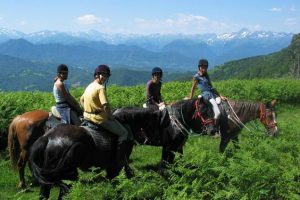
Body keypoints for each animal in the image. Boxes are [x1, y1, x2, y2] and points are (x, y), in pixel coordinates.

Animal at [29, 108, 170, 200]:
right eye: (157, 124)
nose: (154, 140)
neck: (126, 123)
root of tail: (47, 138)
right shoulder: (116, 165)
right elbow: (116, 181)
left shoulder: (114, 166)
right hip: (67, 175)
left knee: (44, 194)